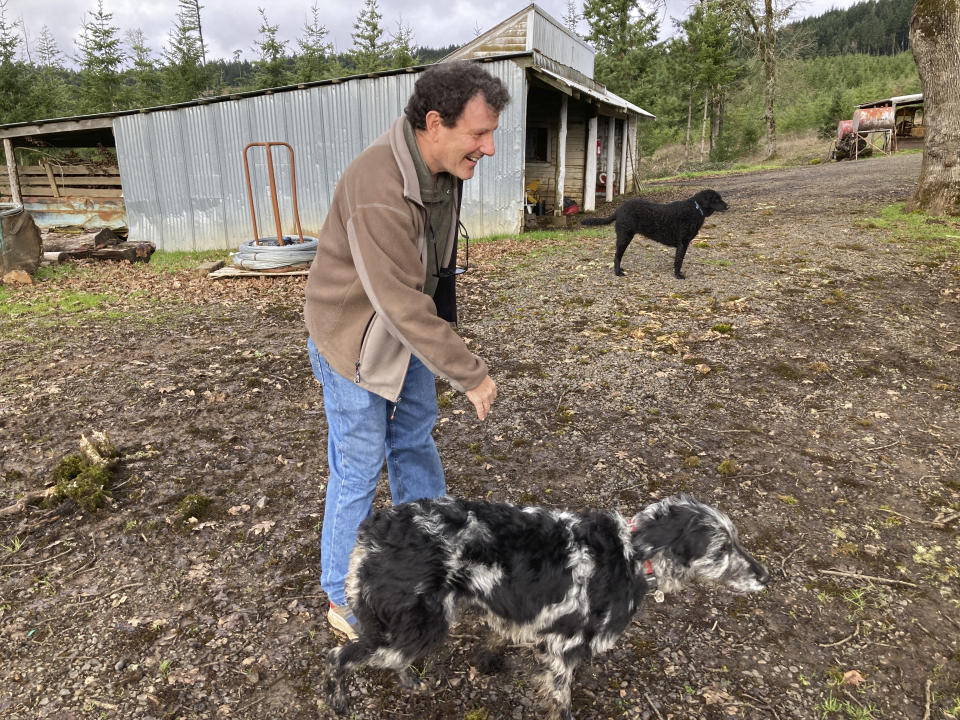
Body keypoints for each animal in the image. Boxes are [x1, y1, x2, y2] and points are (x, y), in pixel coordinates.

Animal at [326, 496, 768, 720]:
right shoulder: (562, 649)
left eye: (736, 540)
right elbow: (562, 701)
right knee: (338, 656)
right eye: (722, 549)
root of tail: (376, 529)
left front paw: (488, 658)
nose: (765, 576)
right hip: (420, 625)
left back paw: (409, 682)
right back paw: (337, 700)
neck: (631, 555)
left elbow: (498, 638)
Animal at [580, 188, 732, 278]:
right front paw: (678, 275)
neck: (695, 209)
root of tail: (618, 210)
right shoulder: (682, 243)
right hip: (624, 236)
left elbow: (678, 260)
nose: (728, 206)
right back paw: (618, 272)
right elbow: (679, 261)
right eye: (716, 199)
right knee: (617, 256)